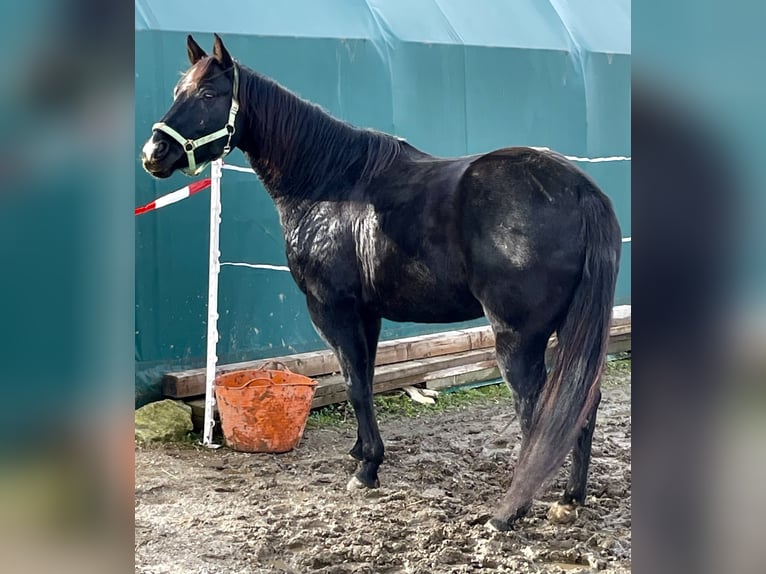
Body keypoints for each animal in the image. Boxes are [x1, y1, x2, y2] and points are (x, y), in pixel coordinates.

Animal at [142, 35, 624, 532]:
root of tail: (580, 190)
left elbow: (354, 384)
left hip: (517, 339)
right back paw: (570, 499)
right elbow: (365, 381)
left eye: (208, 95)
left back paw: (510, 511)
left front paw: (367, 469)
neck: (330, 183)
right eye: (179, 90)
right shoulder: (368, 314)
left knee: (536, 414)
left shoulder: (333, 309)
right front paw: (362, 453)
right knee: (581, 406)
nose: (153, 153)